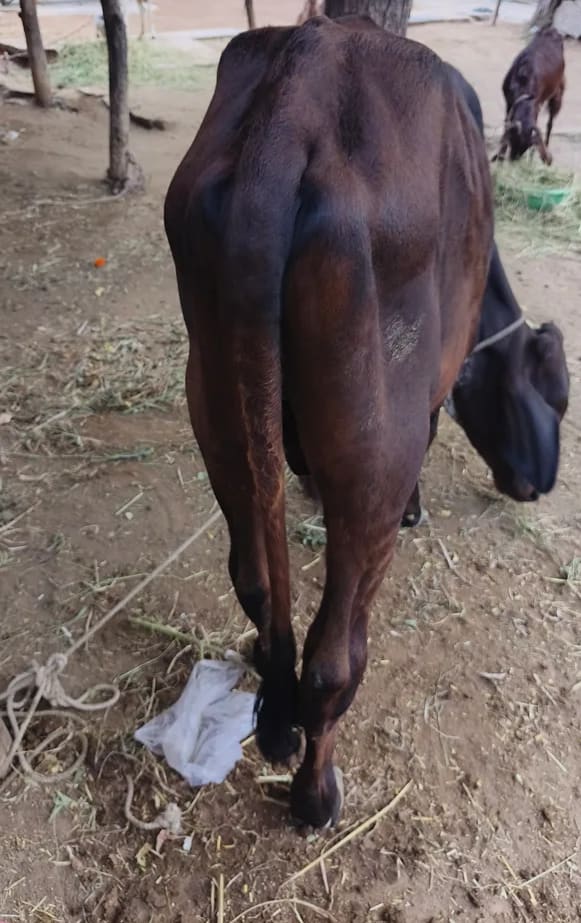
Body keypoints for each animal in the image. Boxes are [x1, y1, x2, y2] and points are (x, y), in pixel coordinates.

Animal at [493, 27, 565, 165]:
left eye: (527, 146)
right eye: (513, 141)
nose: (514, 159)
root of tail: (553, 31)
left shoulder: (537, 104)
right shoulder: (509, 103)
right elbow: (506, 123)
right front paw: (499, 157)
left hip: (557, 93)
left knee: (550, 123)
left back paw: (547, 142)